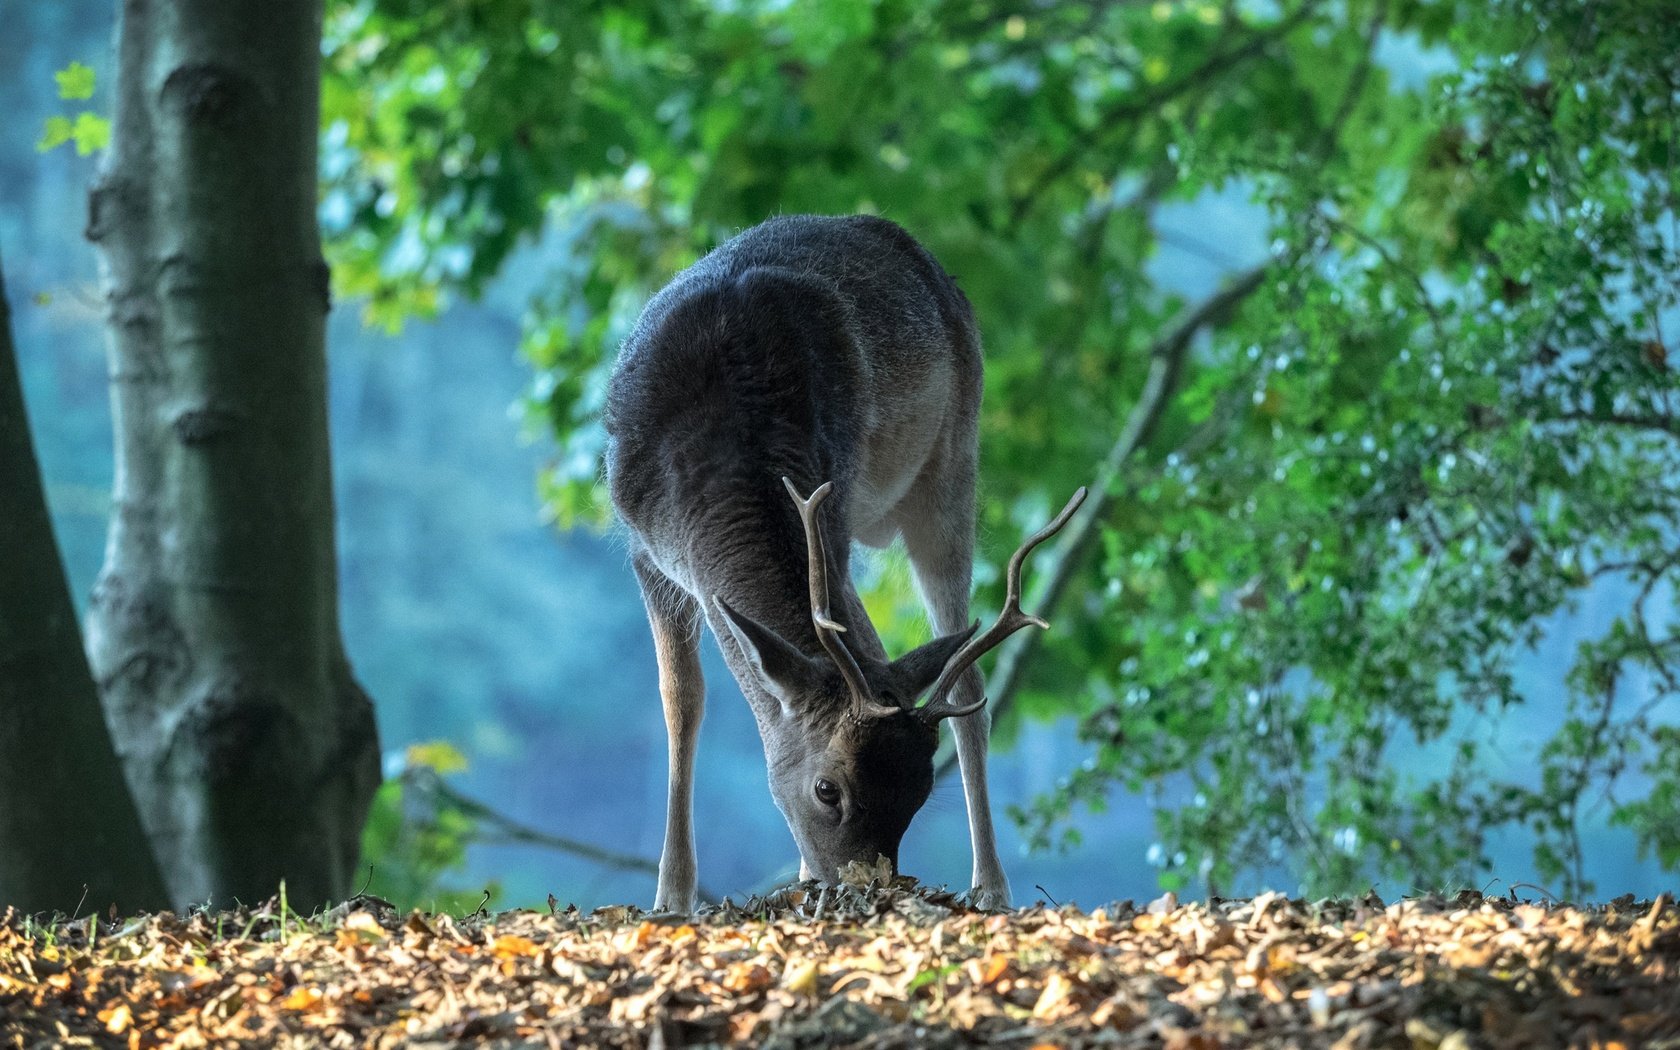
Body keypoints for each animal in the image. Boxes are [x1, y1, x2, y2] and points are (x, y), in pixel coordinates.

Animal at [611, 213, 1081, 907]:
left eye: (919, 793)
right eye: (827, 789)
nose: (865, 888)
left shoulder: (829, 508)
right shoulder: (645, 552)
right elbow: (682, 701)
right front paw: (671, 896)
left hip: (952, 462)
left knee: (968, 685)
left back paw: (991, 886)